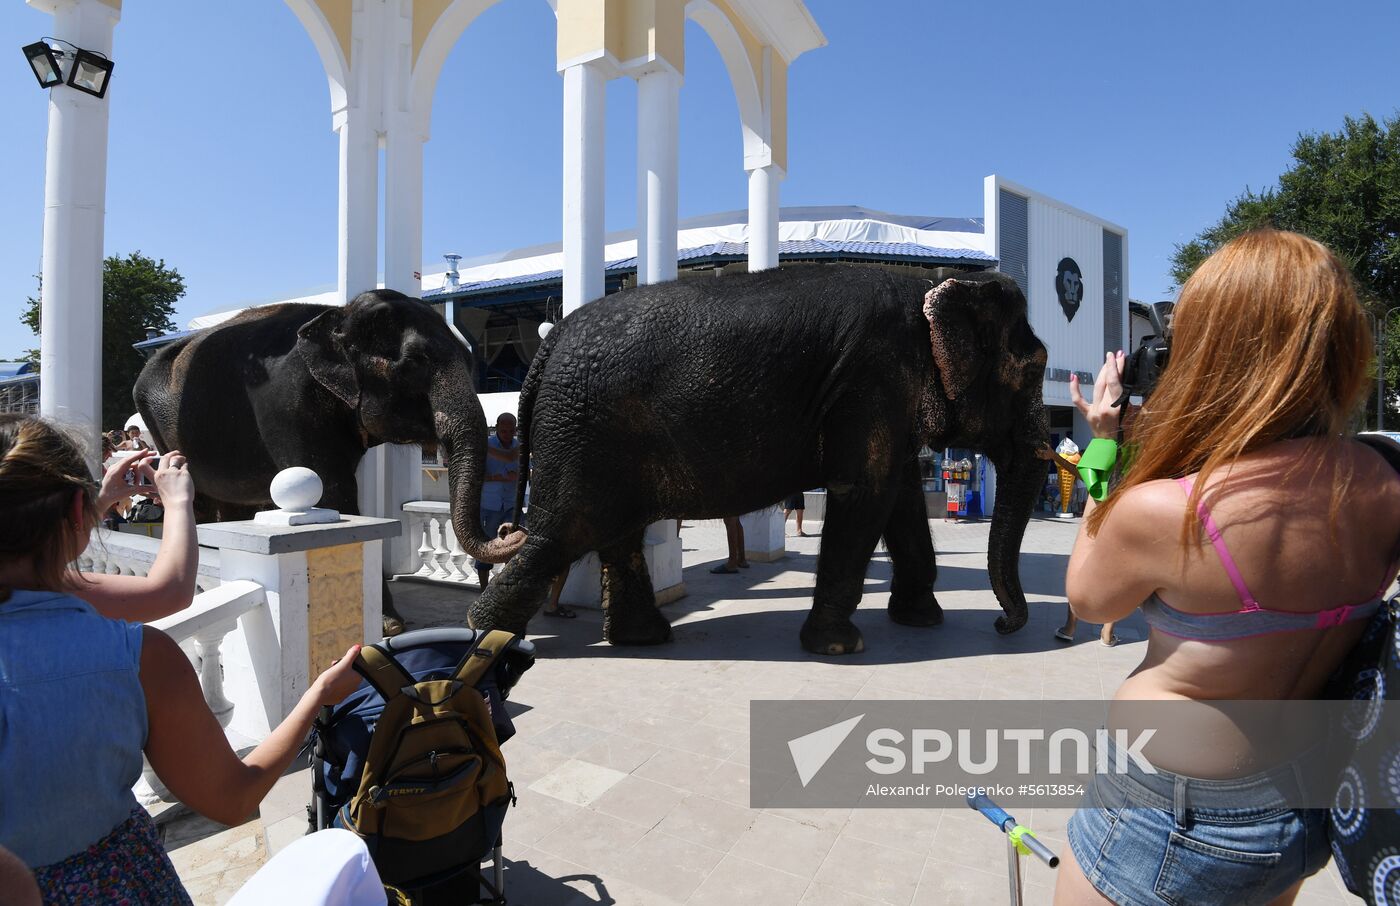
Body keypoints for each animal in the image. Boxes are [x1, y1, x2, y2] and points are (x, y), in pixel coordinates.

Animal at [134, 289, 528, 631]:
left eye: (471, 361)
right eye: (416, 362)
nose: (511, 529)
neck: (340, 315)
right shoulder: (288, 403)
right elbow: (334, 489)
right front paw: (389, 624)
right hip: (160, 428)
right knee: (197, 501)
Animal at [468, 265, 1050, 654]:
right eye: (1034, 369)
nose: (1002, 627)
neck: (933, 287)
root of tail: (552, 339)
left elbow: (901, 497)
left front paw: (921, 622)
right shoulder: (872, 380)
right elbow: (864, 493)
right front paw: (840, 648)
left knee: (612, 532)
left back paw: (642, 639)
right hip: (580, 432)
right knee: (563, 531)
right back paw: (487, 639)